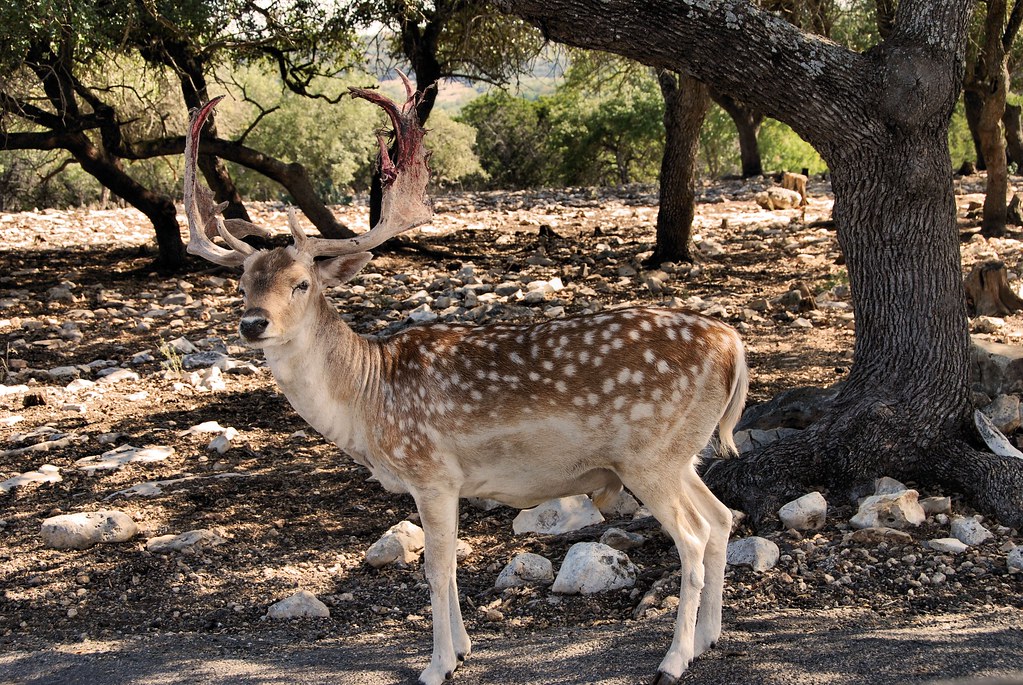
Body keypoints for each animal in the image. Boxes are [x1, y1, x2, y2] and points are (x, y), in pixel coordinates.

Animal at [182, 75, 748, 685]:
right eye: (243, 284)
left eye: (301, 283)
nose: (252, 323)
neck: (368, 401)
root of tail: (733, 345)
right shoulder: (448, 483)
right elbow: (451, 566)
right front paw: (463, 651)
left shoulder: (431, 471)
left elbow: (435, 569)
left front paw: (435, 667)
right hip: (681, 453)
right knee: (721, 519)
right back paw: (708, 639)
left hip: (650, 454)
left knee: (693, 537)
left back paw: (673, 660)